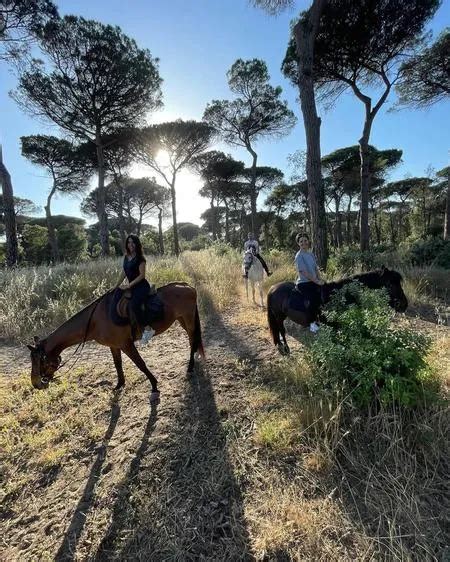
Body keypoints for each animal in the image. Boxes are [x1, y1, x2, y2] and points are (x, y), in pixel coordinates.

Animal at [26, 282, 206, 400]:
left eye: (40, 360)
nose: (36, 383)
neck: (95, 321)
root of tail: (188, 287)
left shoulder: (126, 344)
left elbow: (140, 364)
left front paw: (154, 386)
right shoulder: (114, 346)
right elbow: (117, 364)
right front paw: (119, 384)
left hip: (188, 318)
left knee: (193, 341)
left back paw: (190, 367)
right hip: (182, 320)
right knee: (193, 340)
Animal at [268, 266, 408, 354]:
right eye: (389, 284)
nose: (404, 305)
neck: (342, 295)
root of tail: (273, 289)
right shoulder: (334, 324)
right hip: (278, 316)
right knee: (281, 330)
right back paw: (286, 348)